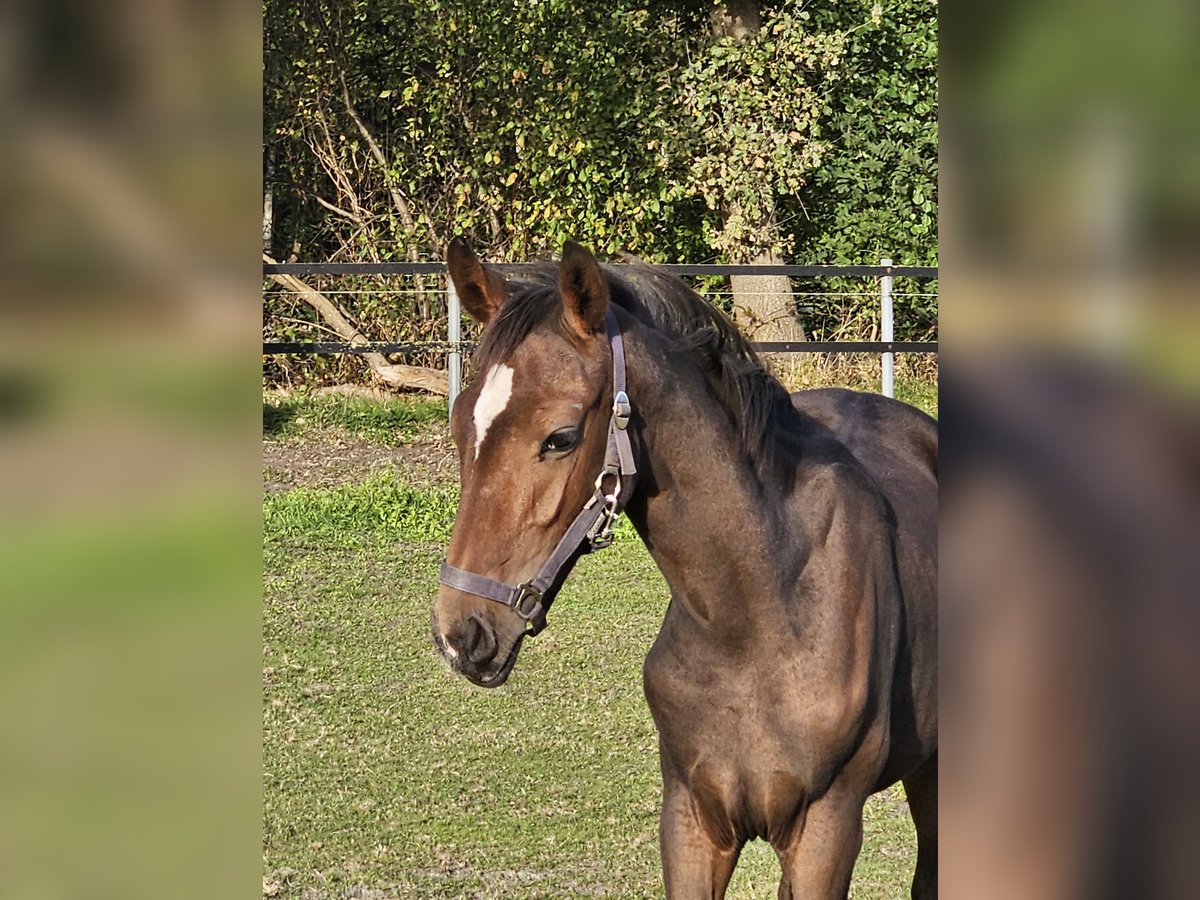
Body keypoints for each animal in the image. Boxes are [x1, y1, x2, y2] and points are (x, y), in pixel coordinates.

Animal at [432, 240, 936, 900]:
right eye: (461, 422)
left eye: (560, 437)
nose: (461, 633)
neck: (756, 614)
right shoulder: (692, 821)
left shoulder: (825, 832)